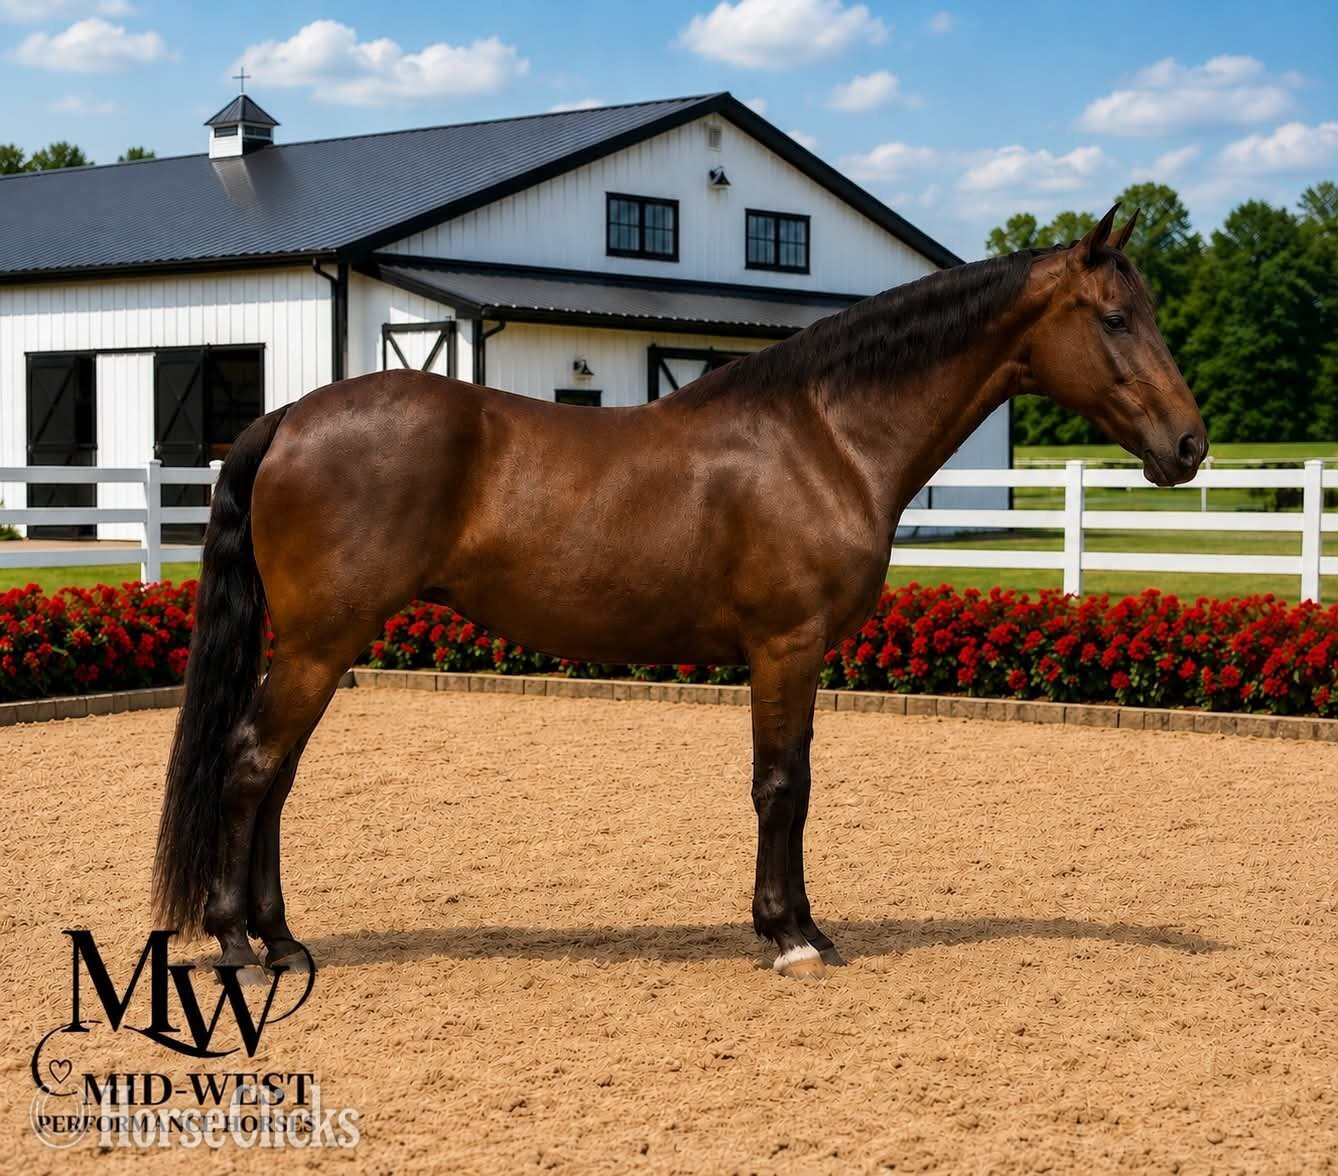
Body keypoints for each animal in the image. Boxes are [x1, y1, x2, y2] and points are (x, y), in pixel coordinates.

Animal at [153, 205, 1207, 982]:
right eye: (1115, 318)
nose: (1190, 445)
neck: (824, 437)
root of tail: (290, 417)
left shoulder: (798, 655)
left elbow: (794, 785)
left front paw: (801, 924)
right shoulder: (785, 646)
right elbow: (782, 786)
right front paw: (790, 937)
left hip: (321, 647)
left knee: (276, 777)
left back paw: (283, 940)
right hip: (320, 644)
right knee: (251, 766)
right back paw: (240, 943)